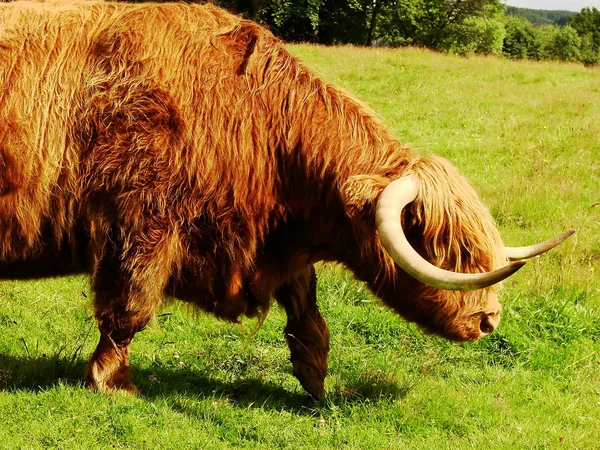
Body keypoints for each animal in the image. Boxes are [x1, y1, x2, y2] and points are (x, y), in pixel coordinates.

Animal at [0, 1, 572, 400]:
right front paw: (112, 382)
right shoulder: (143, 223)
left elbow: (305, 301)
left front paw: (315, 376)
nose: (490, 320)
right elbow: (129, 307)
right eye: (446, 248)